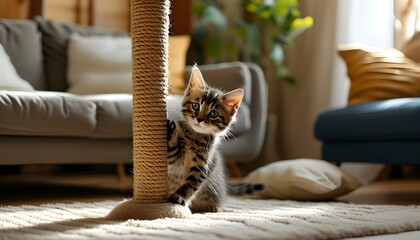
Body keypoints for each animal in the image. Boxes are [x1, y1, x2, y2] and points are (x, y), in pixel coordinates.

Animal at [167, 65, 262, 212]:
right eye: (195, 106)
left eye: (213, 114)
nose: (199, 119)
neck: (195, 136)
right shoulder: (175, 159)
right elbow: (172, 150)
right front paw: (172, 129)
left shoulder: (202, 167)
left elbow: (191, 184)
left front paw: (180, 197)